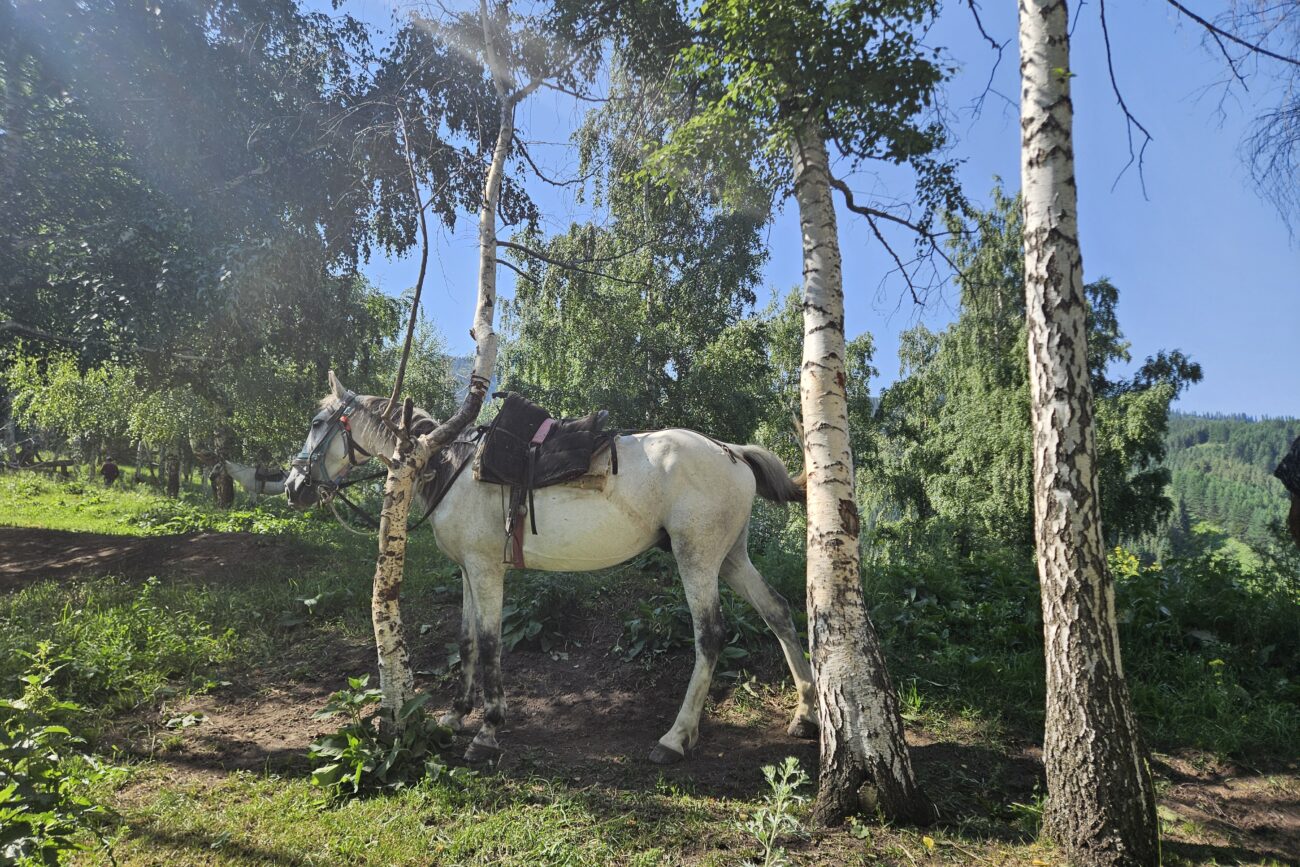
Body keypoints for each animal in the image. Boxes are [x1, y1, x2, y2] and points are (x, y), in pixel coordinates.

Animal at [285, 372, 818, 765]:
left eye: (316, 421)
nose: (292, 486)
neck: (448, 465)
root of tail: (732, 452)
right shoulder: (468, 571)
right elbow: (465, 643)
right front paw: (455, 716)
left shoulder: (487, 570)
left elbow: (490, 643)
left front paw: (488, 731)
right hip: (730, 558)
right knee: (778, 611)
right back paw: (806, 713)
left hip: (698, 558)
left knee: (710, 635)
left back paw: (676, 737)